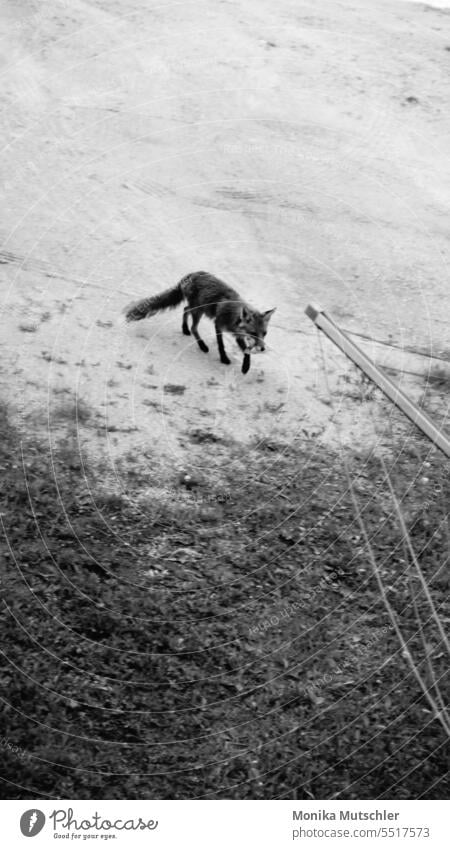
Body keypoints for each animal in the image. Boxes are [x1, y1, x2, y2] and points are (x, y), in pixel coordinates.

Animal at [125, 270, 276, 372]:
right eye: (253, 333)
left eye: (265, 333)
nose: (263, 348)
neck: (234, 318)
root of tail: (190, 275)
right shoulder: (218, 324)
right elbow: (221, 345)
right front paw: (224, 359)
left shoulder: (238, 335)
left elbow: (246, 352)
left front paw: (245, 367)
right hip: (199, 311)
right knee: (193, 327)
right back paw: (202, 345)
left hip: (197, 309)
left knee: (185, 309)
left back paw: (184, 329)